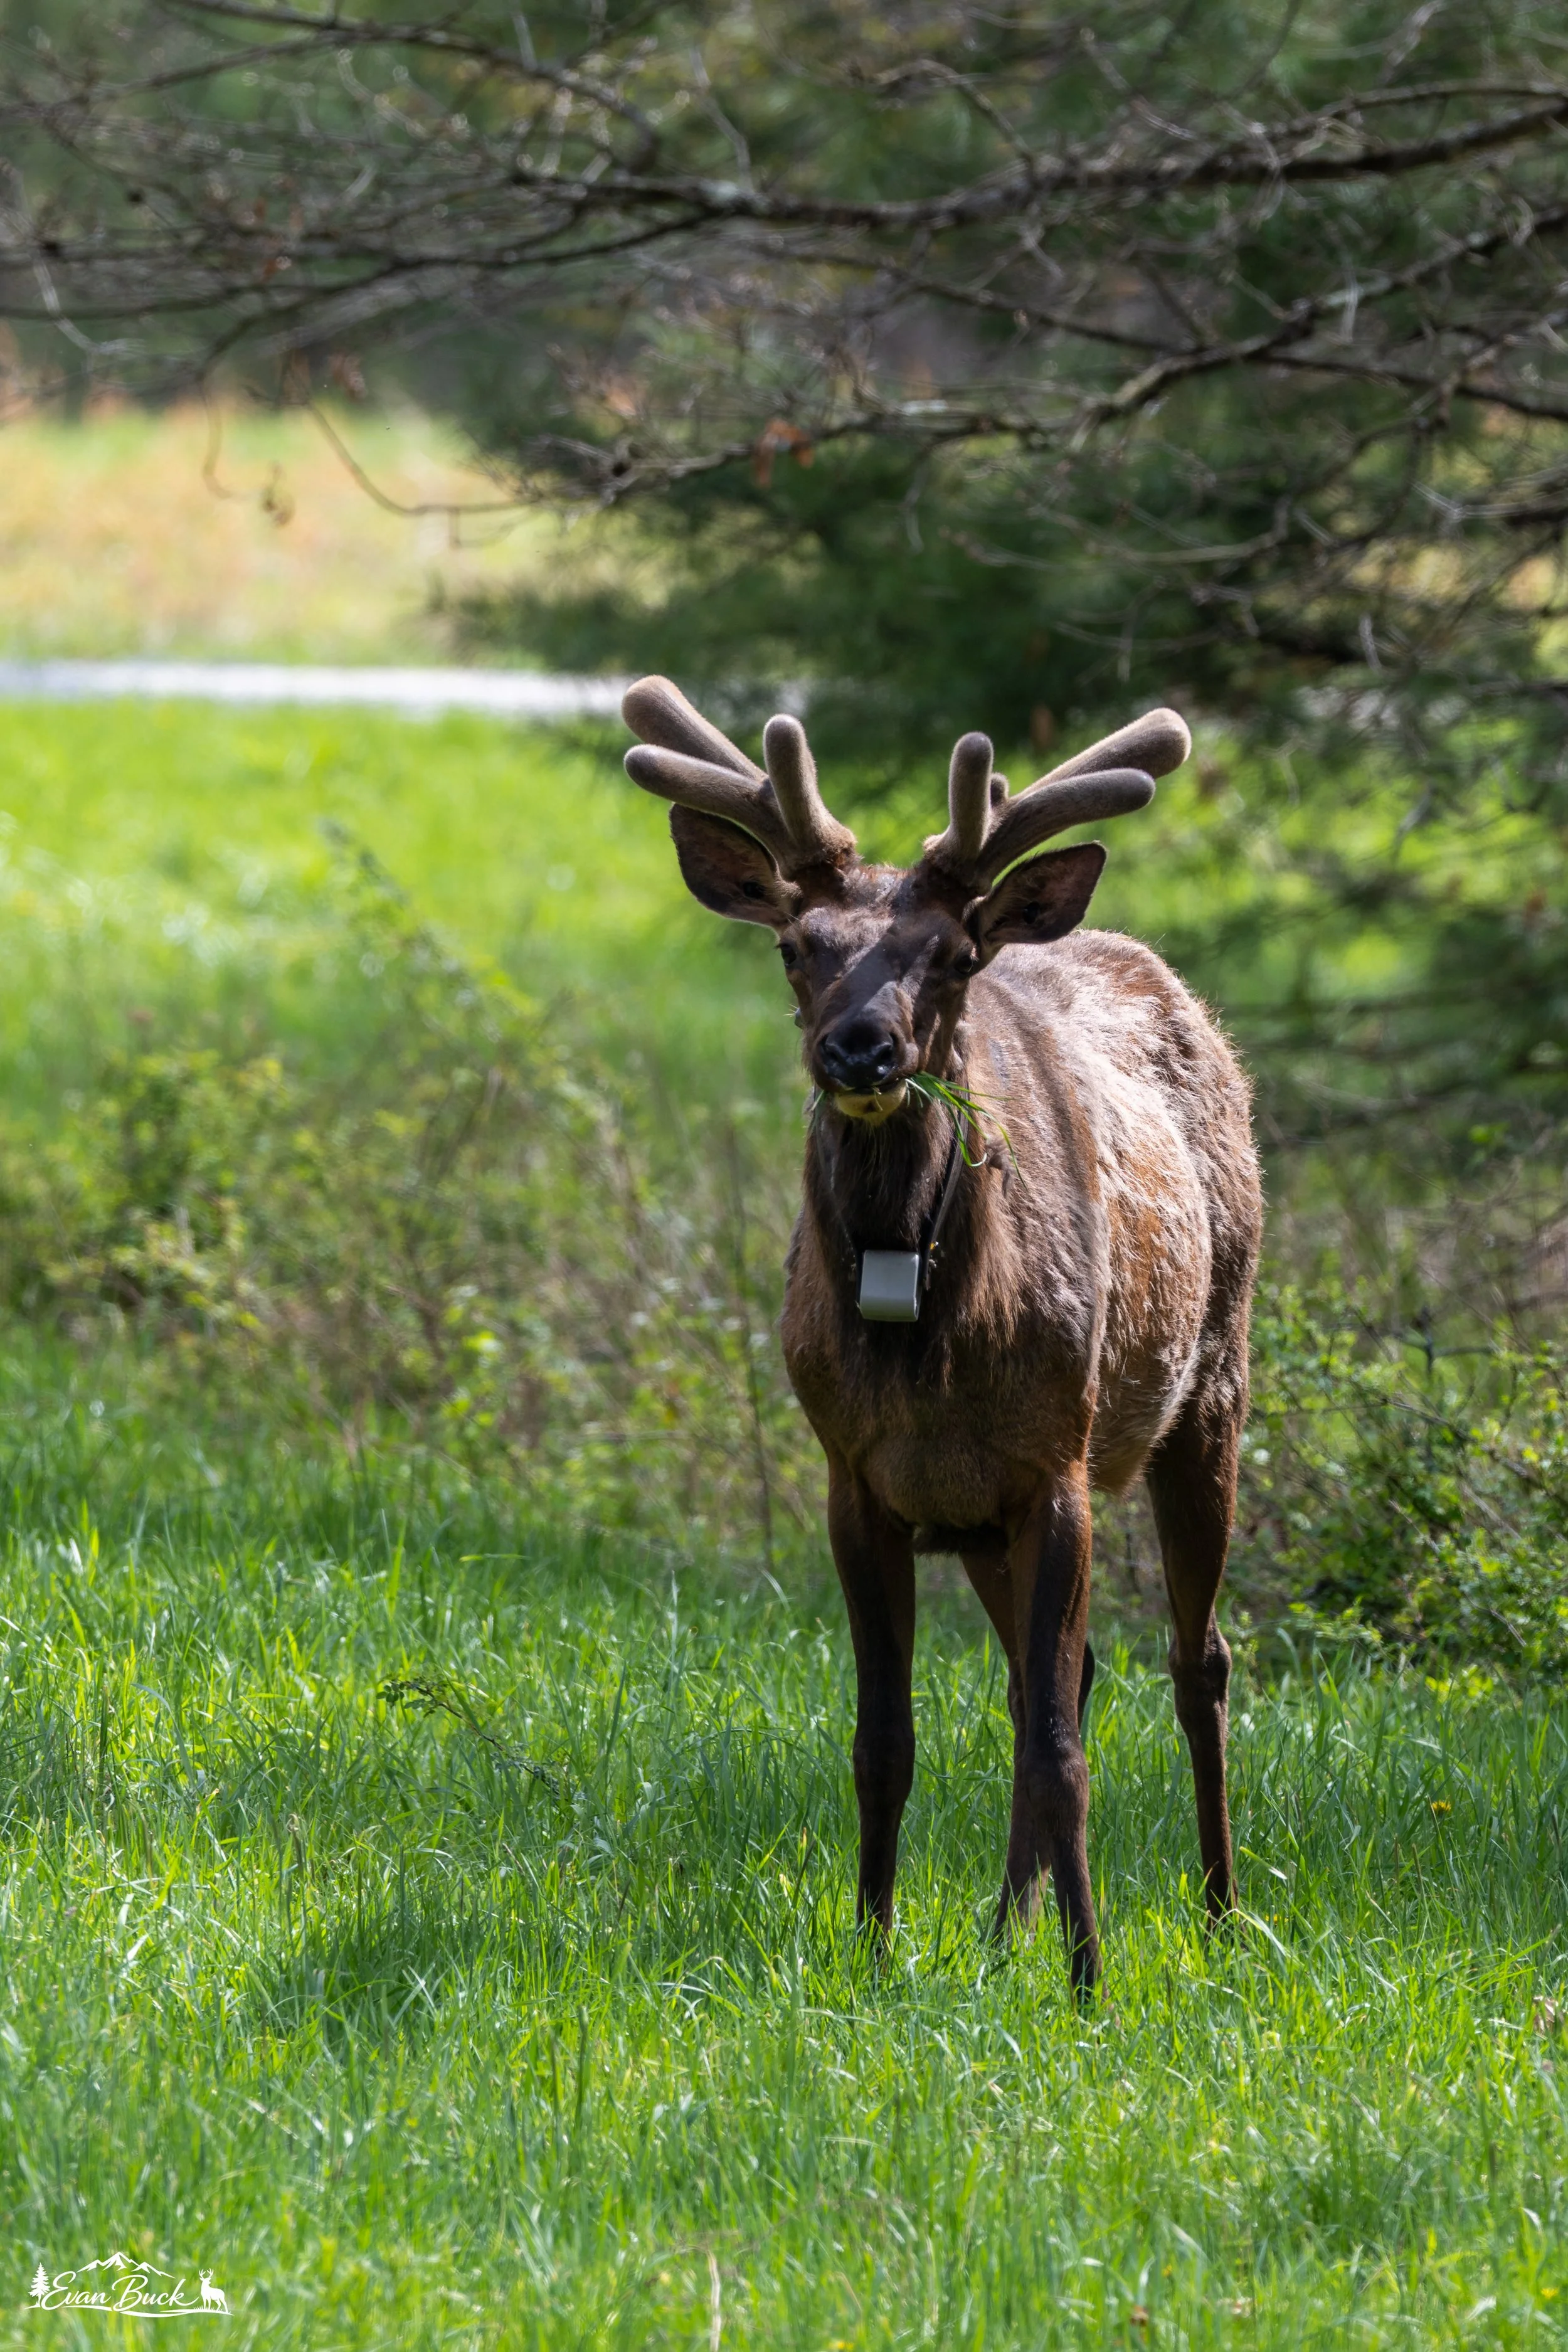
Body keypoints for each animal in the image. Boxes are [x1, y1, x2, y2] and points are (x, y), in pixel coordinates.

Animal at [622, 677, 1262, 1994]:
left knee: (1198, 1662)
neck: (926, 1341)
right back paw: (1004, 1926)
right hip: (981, 1521)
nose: (860, 1047)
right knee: (1050, 1675)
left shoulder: (1057, 1461)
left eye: (953, 956)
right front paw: (875, 1953)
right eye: (796, 946)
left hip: (1211, 1384)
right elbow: (887, 1739)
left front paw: (1090, 1982)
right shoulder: (862, 1482)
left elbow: (1066, 1753)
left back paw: (1222, 1916)